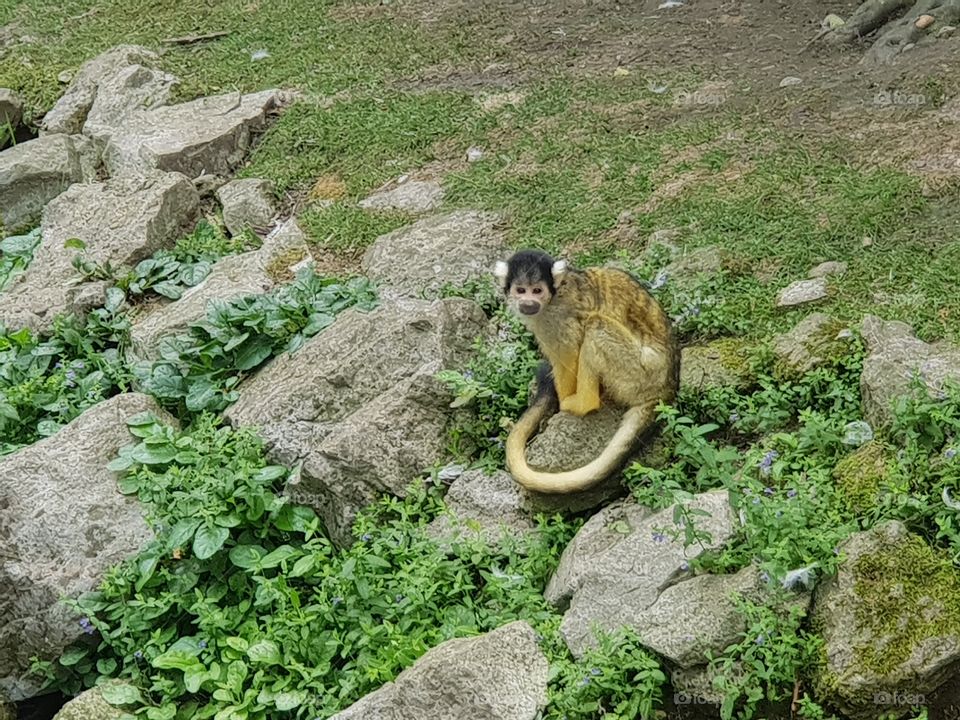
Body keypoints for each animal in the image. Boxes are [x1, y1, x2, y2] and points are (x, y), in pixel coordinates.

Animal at [493, 249, 680, 494]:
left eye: (537, 291)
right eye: (521, 290)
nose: (528, 303)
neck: (556, 293)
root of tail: (666, 388)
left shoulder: (556, 319)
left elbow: (569, 356)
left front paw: (561, 397)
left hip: (640, 373)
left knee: (595, 326)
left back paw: (581, 402)